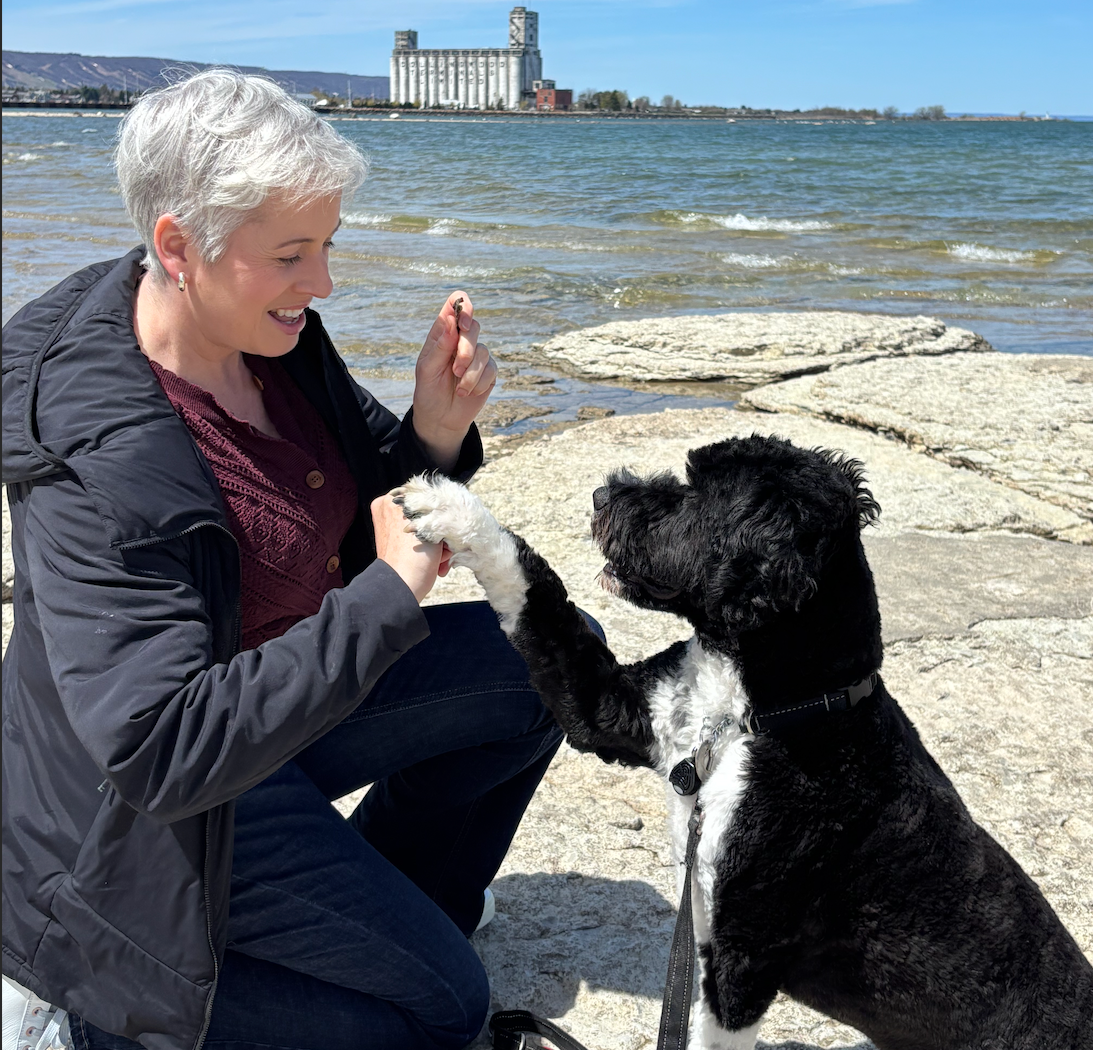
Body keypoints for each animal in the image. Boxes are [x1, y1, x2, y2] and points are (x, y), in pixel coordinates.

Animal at [394, 434, 1093, 1050]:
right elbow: (533, 594)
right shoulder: (620, 711)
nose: (602, 493)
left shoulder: (742, 955)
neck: (760, 715)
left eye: (697, 494)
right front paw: (447, 508)